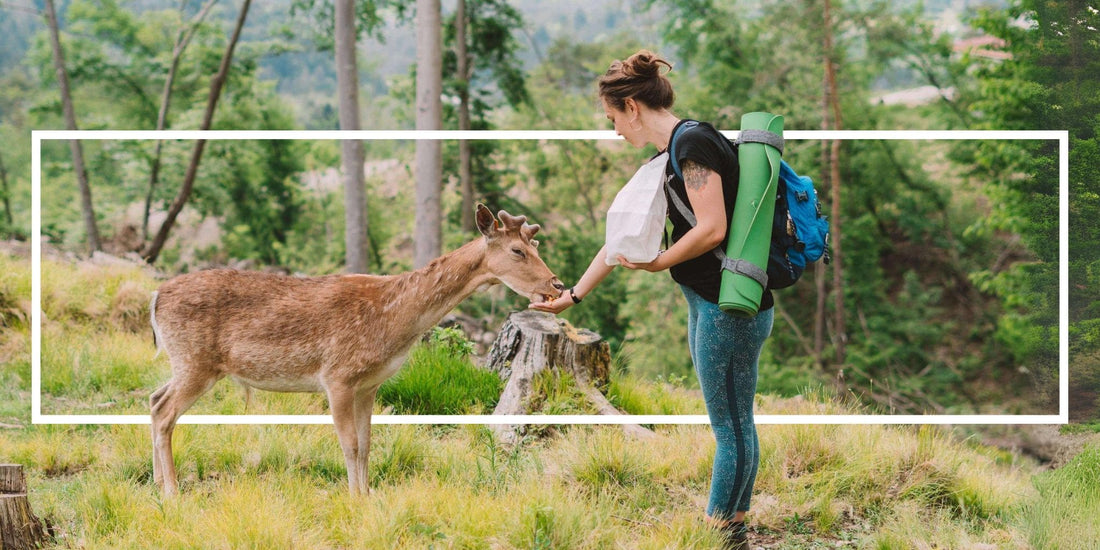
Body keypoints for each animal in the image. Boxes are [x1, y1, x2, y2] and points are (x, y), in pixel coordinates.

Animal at [148, 204, 558, 497]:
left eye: (536, 245)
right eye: (518, 250)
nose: (556, 283)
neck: (395, 323)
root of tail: (155, 297)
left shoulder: (369, 384)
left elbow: (366, 444)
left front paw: (367, 495)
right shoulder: (338, 376)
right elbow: (349, 444)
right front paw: (353, 497)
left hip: (183, 362)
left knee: (153, 400)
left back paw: (156, 483)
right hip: (195, 360)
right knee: (165, 411)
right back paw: (172, 492)